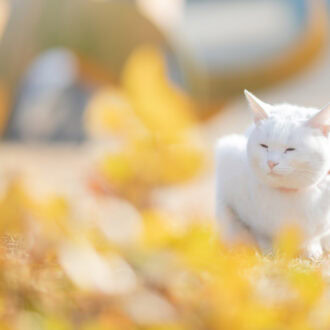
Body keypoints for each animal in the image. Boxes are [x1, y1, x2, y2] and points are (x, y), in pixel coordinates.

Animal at [215, 89, 330, 258]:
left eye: (290, 149)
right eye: (264, 146)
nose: (271, 163)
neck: (288, 195)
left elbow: (313, 237)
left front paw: (310, 251)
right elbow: (261, 234)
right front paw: (270, 253)